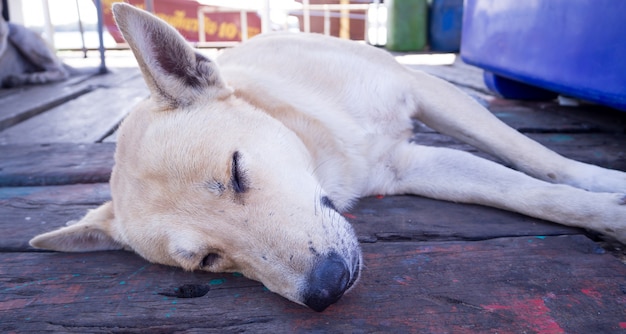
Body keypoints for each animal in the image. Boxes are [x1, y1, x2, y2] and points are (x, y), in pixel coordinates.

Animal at [30, 2, 624, 312]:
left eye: (237, 172)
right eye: (206, 260)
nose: (327, 289)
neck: (328, 143)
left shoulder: (427, 89)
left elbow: (540, 163)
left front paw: (607, 186)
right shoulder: (407, 167)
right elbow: (534, 194)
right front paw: (607, 212)